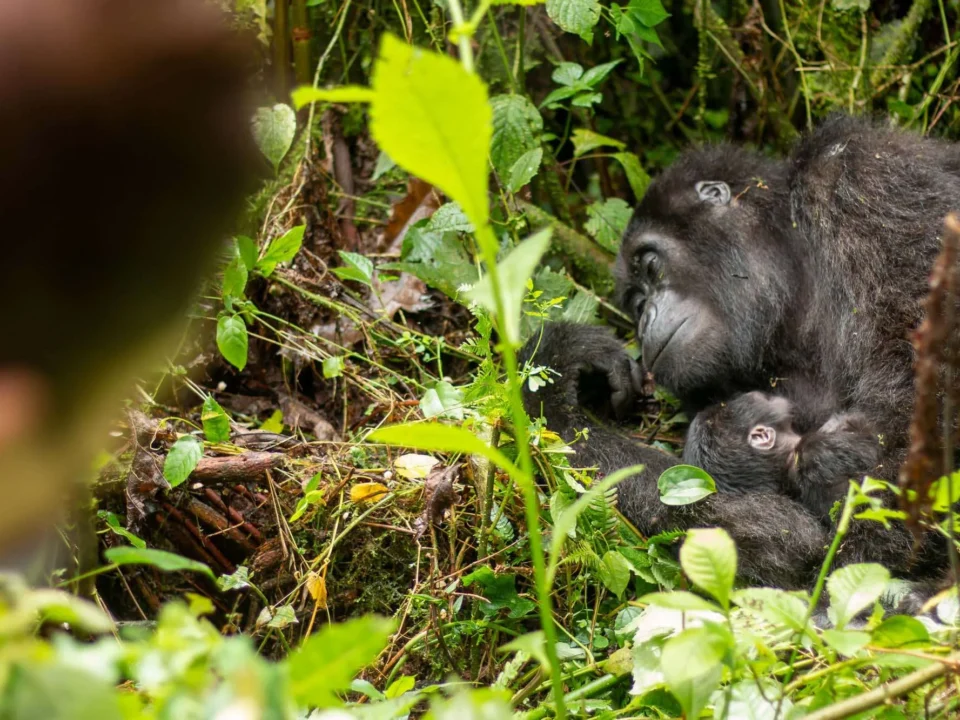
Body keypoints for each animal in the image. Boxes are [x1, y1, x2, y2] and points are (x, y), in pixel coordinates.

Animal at [522, 114, 958, 589]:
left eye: (651, 265)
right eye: (636, 302)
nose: (645, 319)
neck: (796, 263)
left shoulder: (868, 181)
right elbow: (777, 537)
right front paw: (557, 368)